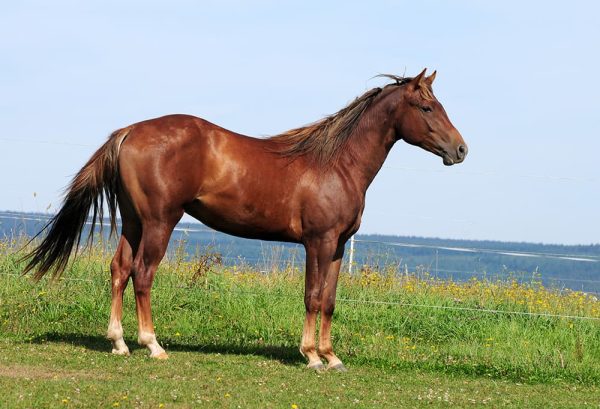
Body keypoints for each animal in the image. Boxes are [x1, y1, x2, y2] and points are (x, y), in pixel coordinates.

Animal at [23, 69, 466, 370]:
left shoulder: (338, 246)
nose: (460, 149)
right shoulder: (318, 242)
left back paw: (118, 342)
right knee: (143, 274)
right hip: (160, 222)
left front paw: (331, 355)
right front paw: (311, 356)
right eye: (426, 107)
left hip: (134, 222)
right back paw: (152, 344)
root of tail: (129, 131)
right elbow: (312, 296)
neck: (336, 163)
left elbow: (330, 301)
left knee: (119, 269)